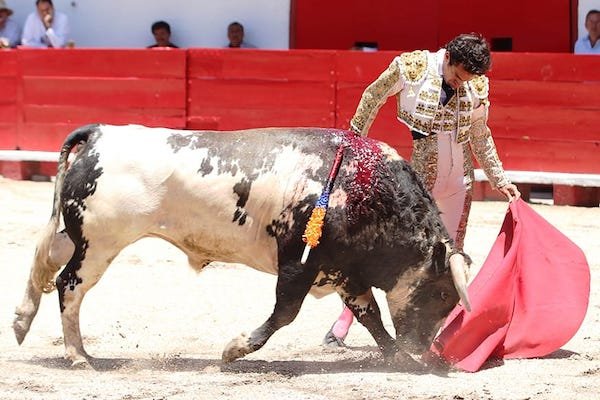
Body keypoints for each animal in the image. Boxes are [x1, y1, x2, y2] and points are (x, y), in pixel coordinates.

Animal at [13, 124, 471, 369]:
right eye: (443, 294)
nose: (423, 347)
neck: (361, 187)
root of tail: (100, 134)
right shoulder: (298, 264)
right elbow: (285, 313)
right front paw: (234, 350)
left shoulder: (344, 271)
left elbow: (370, 316)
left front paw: (401, 359)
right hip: (99, 244)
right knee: (69, 285)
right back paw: (78, 355)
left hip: (78, 236)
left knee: (44, 262)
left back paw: (21, 322)